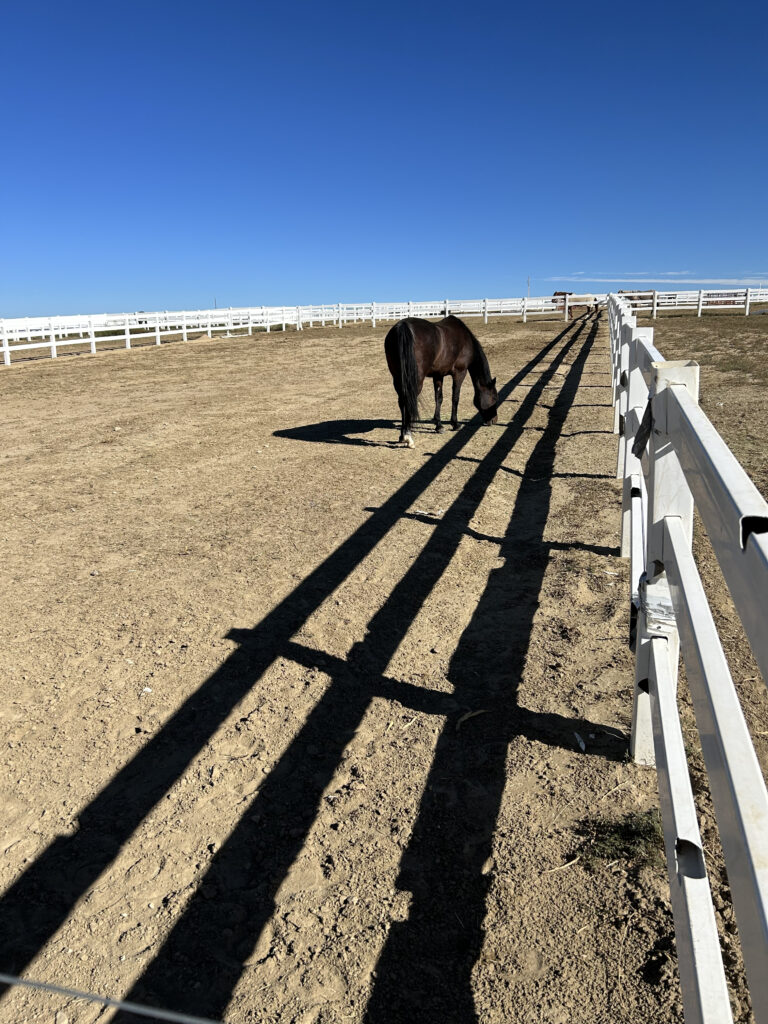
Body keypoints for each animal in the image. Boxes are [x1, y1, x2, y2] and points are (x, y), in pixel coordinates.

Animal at [385, 315, 499, 448]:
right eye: (494, 398)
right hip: (415, 381)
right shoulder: (460, 373)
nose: (494, 420)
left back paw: (402, 435)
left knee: (402, 401)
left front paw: (438, 425)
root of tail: (402, 326)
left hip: (398, 378)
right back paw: (408, 437)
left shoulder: (438, 375)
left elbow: (438, 398)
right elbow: (455, 398)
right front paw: (455, 424)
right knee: (408, 400)